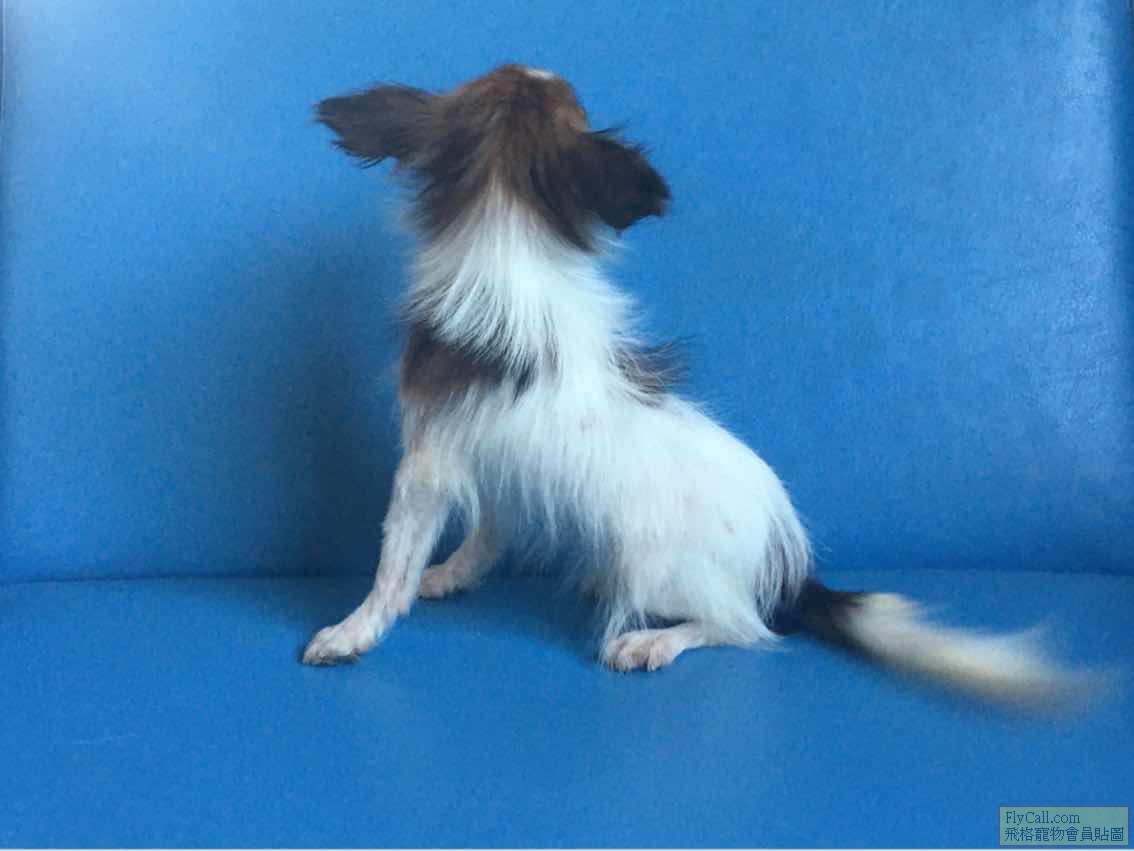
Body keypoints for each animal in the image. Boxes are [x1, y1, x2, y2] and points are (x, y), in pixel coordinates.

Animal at [302, 64, 1080, 706]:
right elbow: (487, 533)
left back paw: (651, 640)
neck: (512, 229)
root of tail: (787, 568)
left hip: (656, 568)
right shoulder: (495, 464)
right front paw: (450, 575)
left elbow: (392, 564)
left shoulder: (425, 465)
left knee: (740, 627)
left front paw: (353, 630)